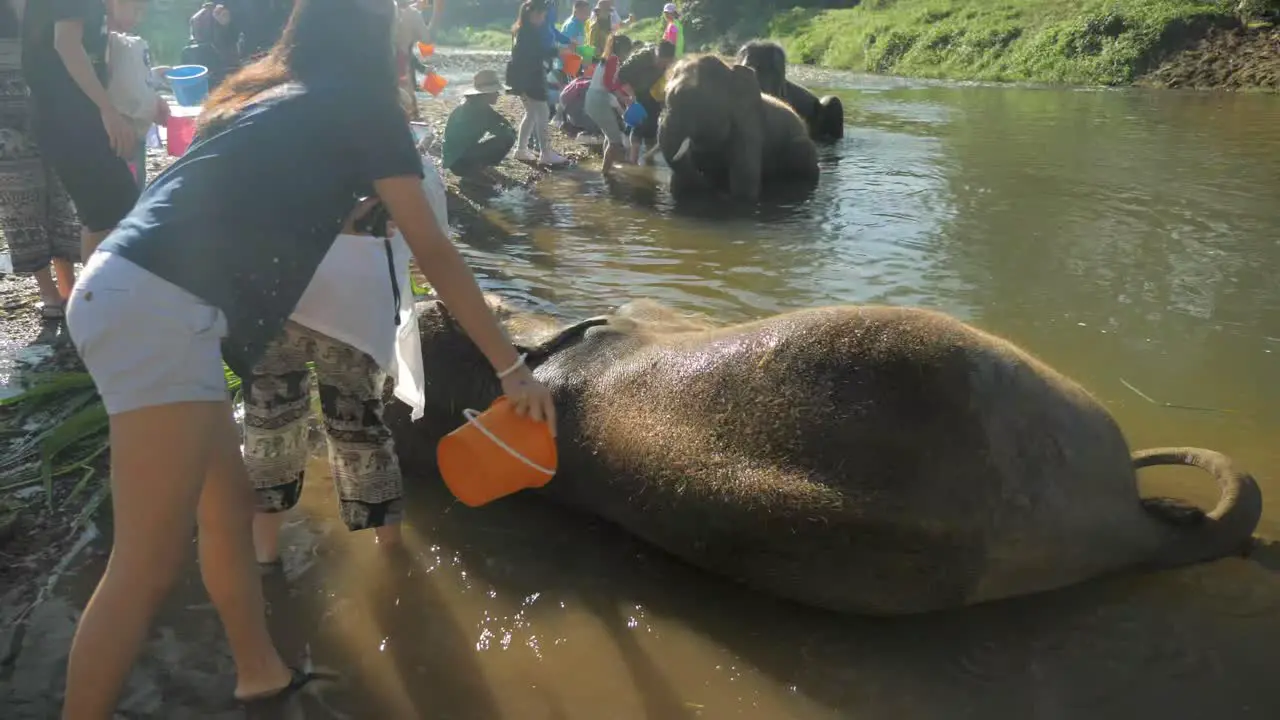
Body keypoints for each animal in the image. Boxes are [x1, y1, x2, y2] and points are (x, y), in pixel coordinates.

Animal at [660, 55, 819, 202]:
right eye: (665, 97)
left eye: (697, 101)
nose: (709, 184)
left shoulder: (749, 125)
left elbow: (744, 191)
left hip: (802, 148)